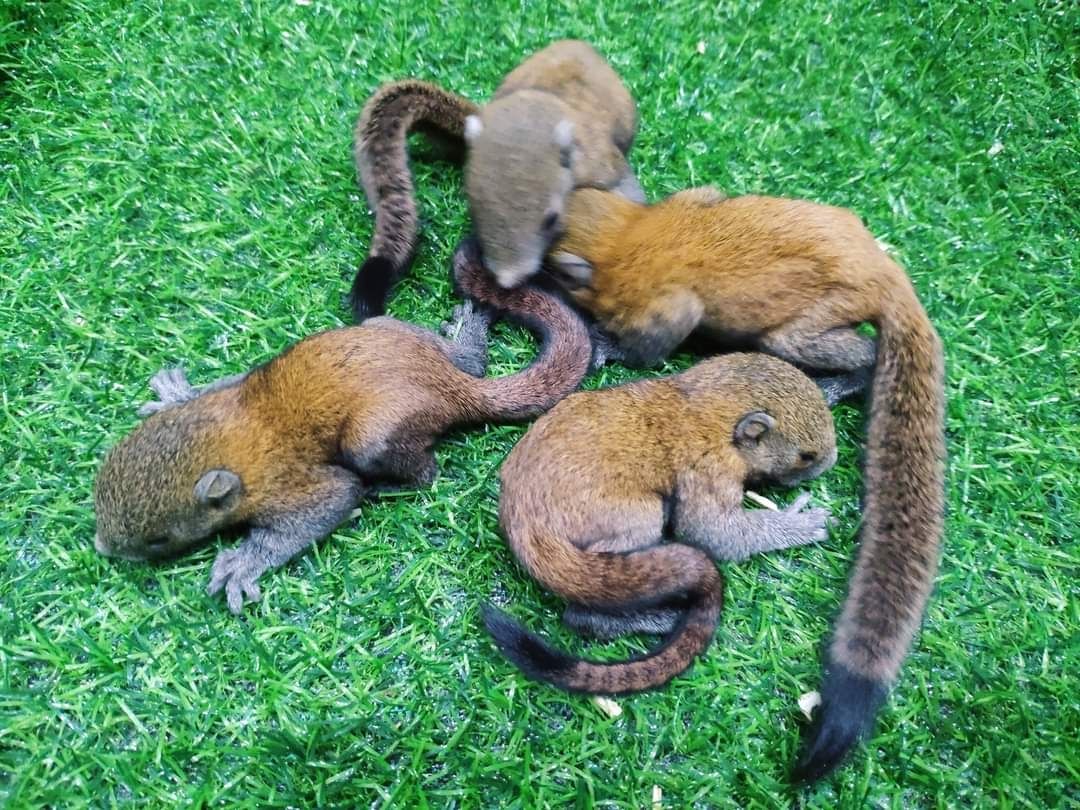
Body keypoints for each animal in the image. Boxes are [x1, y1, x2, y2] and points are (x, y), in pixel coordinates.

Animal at [93, 237, 591, 614]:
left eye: (157, 540)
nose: (102, 548)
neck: (238, 435)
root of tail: (453, 388)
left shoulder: (294, 487)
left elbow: (331, 500)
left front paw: (243, 564)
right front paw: (174, 395)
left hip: (371, 440)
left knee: (426, 475)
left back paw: (387, 488)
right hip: (389, 327)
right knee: (470, 362)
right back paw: (468, 335)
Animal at [484, 352, 837, 694]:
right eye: (807, 456)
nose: (831, 461)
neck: (705, 405)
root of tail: (526, 524)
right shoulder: (711, 465)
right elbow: (712, 535)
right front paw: (797, 525)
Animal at [545, 188, 946, 781]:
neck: (630, 234)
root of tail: (883, 270)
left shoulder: (659, 304)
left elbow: (656, 344)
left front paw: (610, 345)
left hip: (818, 318)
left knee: (835, 346)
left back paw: (848, 379)